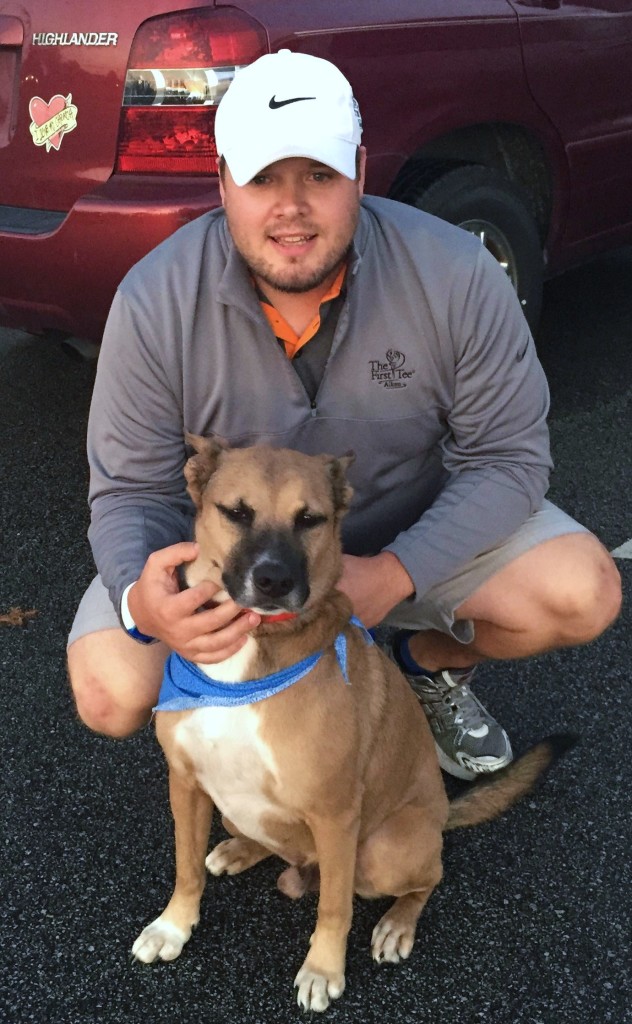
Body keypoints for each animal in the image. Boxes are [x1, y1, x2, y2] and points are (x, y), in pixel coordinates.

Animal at [130, 436, 569, 1011]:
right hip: (233, 810)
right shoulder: (184, 783)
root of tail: (440, 815)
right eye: (237, 512)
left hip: (383, 850)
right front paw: (174, 926)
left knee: (426, 878)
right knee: (268, 840)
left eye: (310, 519)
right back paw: (240, 848)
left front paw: (323, 969)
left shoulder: (335, 814)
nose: (274, 580)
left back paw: (397, 924)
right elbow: (184, 867)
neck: (253, 649)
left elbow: (335, 908)